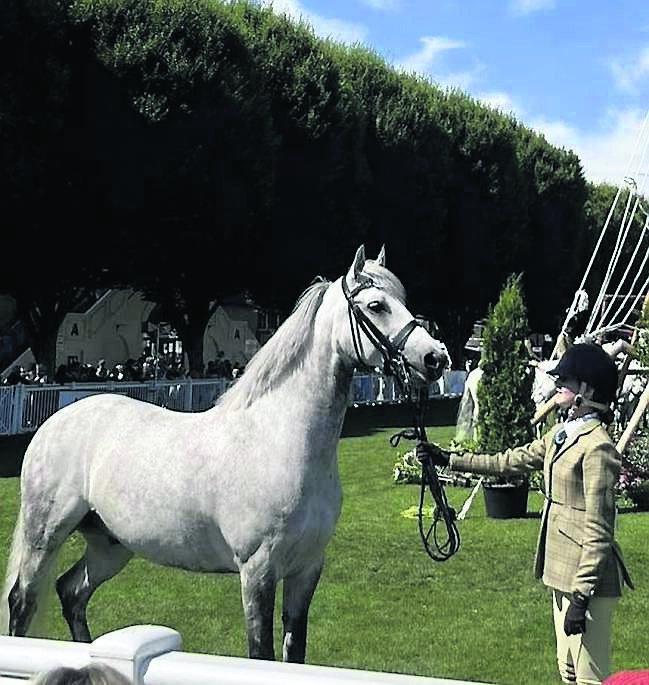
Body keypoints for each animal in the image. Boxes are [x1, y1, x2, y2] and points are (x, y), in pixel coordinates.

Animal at [1, 245, 450, 663]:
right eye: (376, 305)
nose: (436, 357)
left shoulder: (306, 569)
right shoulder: (257, 570)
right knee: (22, 603)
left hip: (110, 545)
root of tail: (55, 421)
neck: (280, 439)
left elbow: (295, 651)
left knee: (71, 593)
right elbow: (261, 652)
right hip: (45, 536)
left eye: (403, 299)